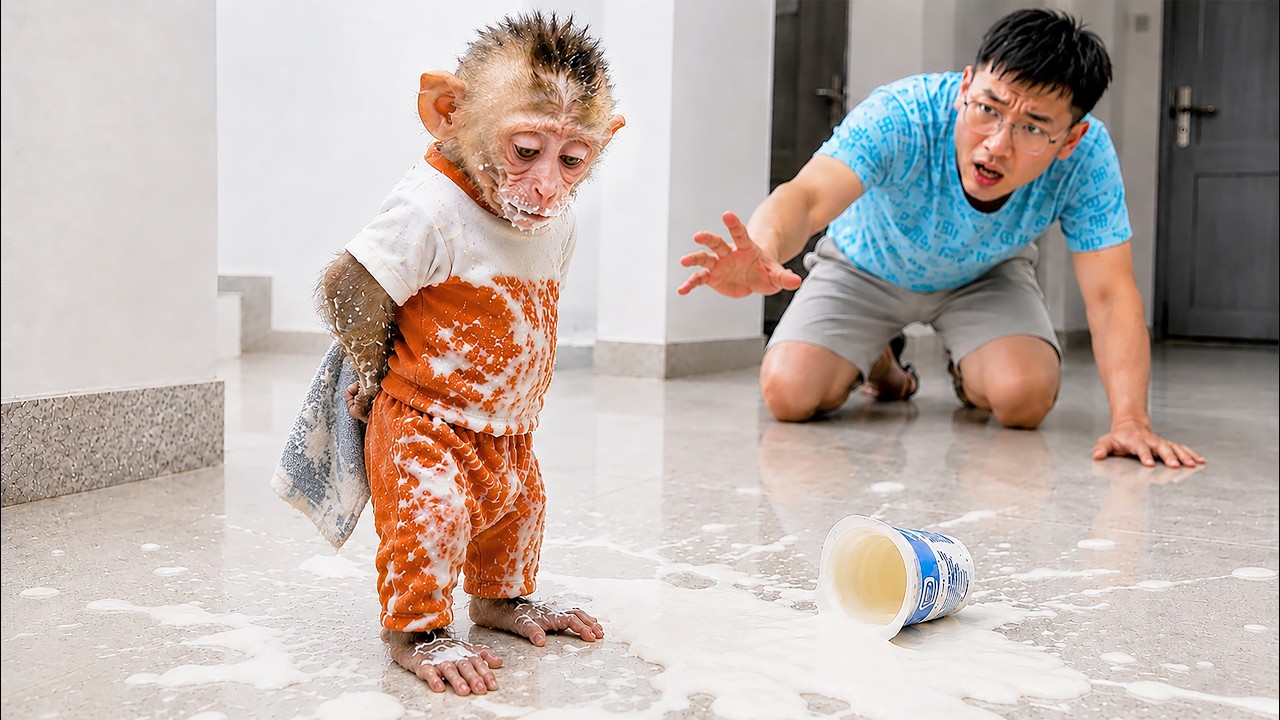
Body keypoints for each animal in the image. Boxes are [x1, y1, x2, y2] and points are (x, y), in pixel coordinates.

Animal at [315, 12, 623, 696]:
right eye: (526, 150)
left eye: (571, 159)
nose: (545, 187)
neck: (483, 200)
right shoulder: (411, 219)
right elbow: (355, 286)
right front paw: (367, 385)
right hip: (420, 456)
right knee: (432, 523)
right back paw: (428, 645)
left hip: (521, 484)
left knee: (519, 527)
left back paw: (513, 607)